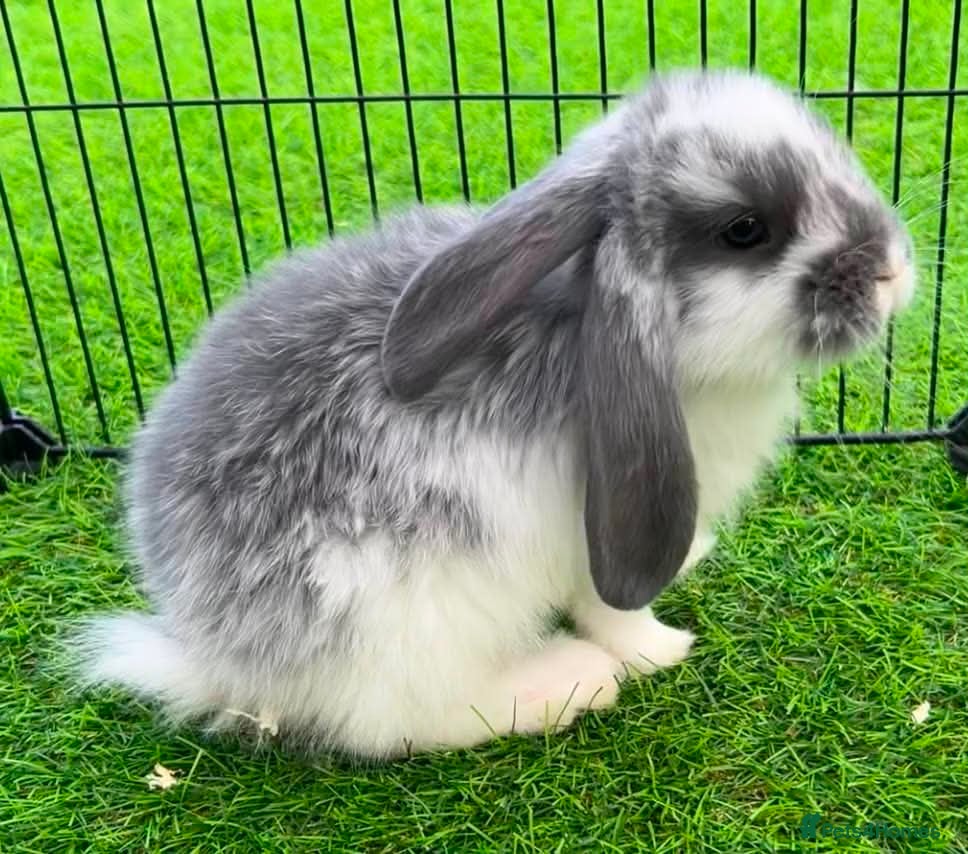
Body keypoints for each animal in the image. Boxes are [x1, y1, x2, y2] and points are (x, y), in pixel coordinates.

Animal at [76, 69, 914, 759]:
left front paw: (692, 558)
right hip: (412, 618)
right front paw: (660, 648)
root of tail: (217, 654)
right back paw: (562, 684)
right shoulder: (595, 532)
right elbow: (610, 610)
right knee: (404, 723)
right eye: (745, 230)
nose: (893, 269)